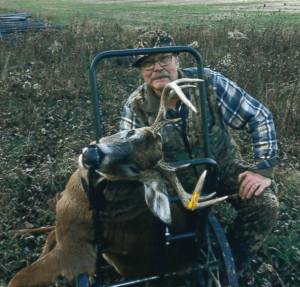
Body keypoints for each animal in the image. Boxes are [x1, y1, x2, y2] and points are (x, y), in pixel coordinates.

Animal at [8, 79, 226, 287]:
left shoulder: (76, 252)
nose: (92, 156)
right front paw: (21, 232)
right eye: (131, 132)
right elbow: (49, 234)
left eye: (133, 168)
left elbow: (18, 278)